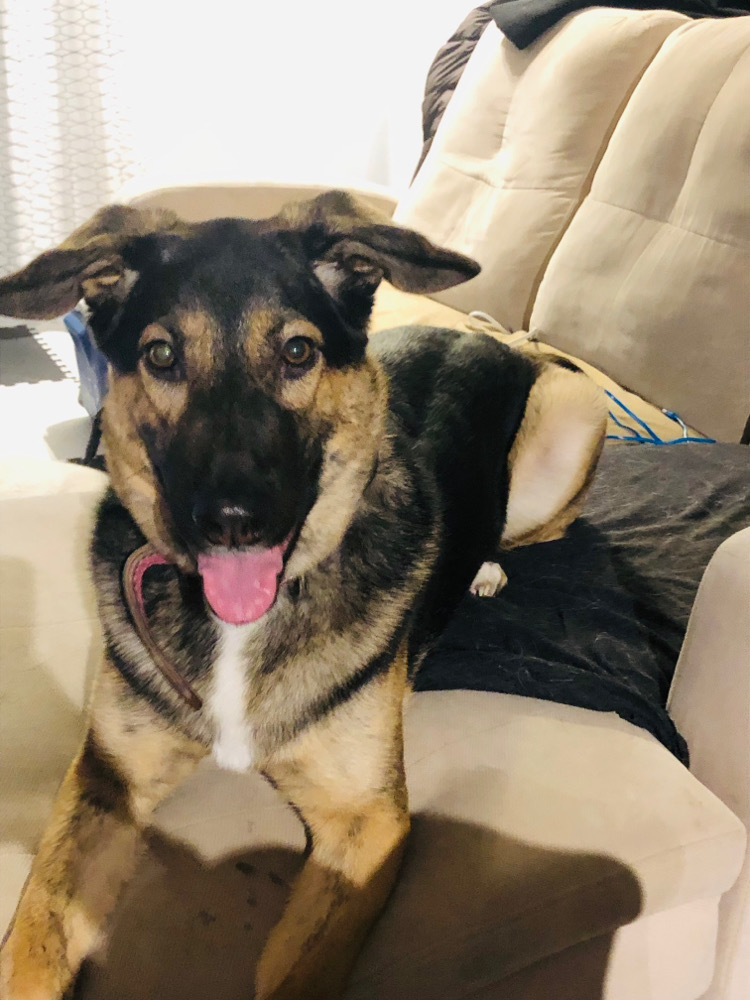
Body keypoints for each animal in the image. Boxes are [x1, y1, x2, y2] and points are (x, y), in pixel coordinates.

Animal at [0, 191, 606, 1000]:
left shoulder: (367, 824)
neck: (239, 625)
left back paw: (484, 566)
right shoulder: (105, 781)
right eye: (161, 356)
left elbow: (300, 970)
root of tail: (501, 342)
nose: (233, 521)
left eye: (296, 352)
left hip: (575, 411)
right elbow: (35, 938)